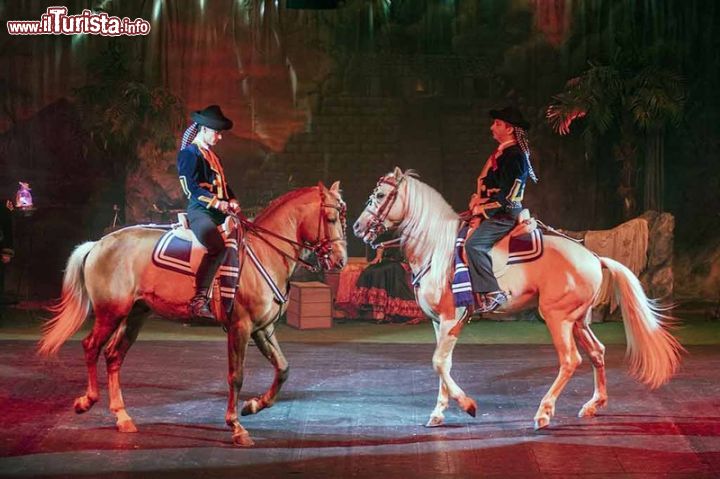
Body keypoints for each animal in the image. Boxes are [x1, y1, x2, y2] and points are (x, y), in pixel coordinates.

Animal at [39, 183, 348, 446]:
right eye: (331, 218)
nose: (340, 260)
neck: (264, 251)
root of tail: (99, 243)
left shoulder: (263, 329)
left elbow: (283, 369)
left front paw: (252, 406)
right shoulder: (240, 327)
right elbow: (236, 375)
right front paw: (236, 426)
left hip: (135, 315)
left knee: (114, 356)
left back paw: (123, 417)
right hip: (110, 312)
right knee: (91, 346)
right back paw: (87, 401)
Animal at [352, 170, 680, 432]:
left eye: (380, 195)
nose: (357, 227)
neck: (437, 249)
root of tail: (593, 256)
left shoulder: (452, 318)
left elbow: (438, 362)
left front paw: (468, 405)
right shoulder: (438, 322)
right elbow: (443, 363)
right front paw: (438, 413)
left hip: (557, 317)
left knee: (570, 360)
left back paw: (543, 413)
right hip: (578, 319)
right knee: (597, 353)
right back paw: (593, 405)